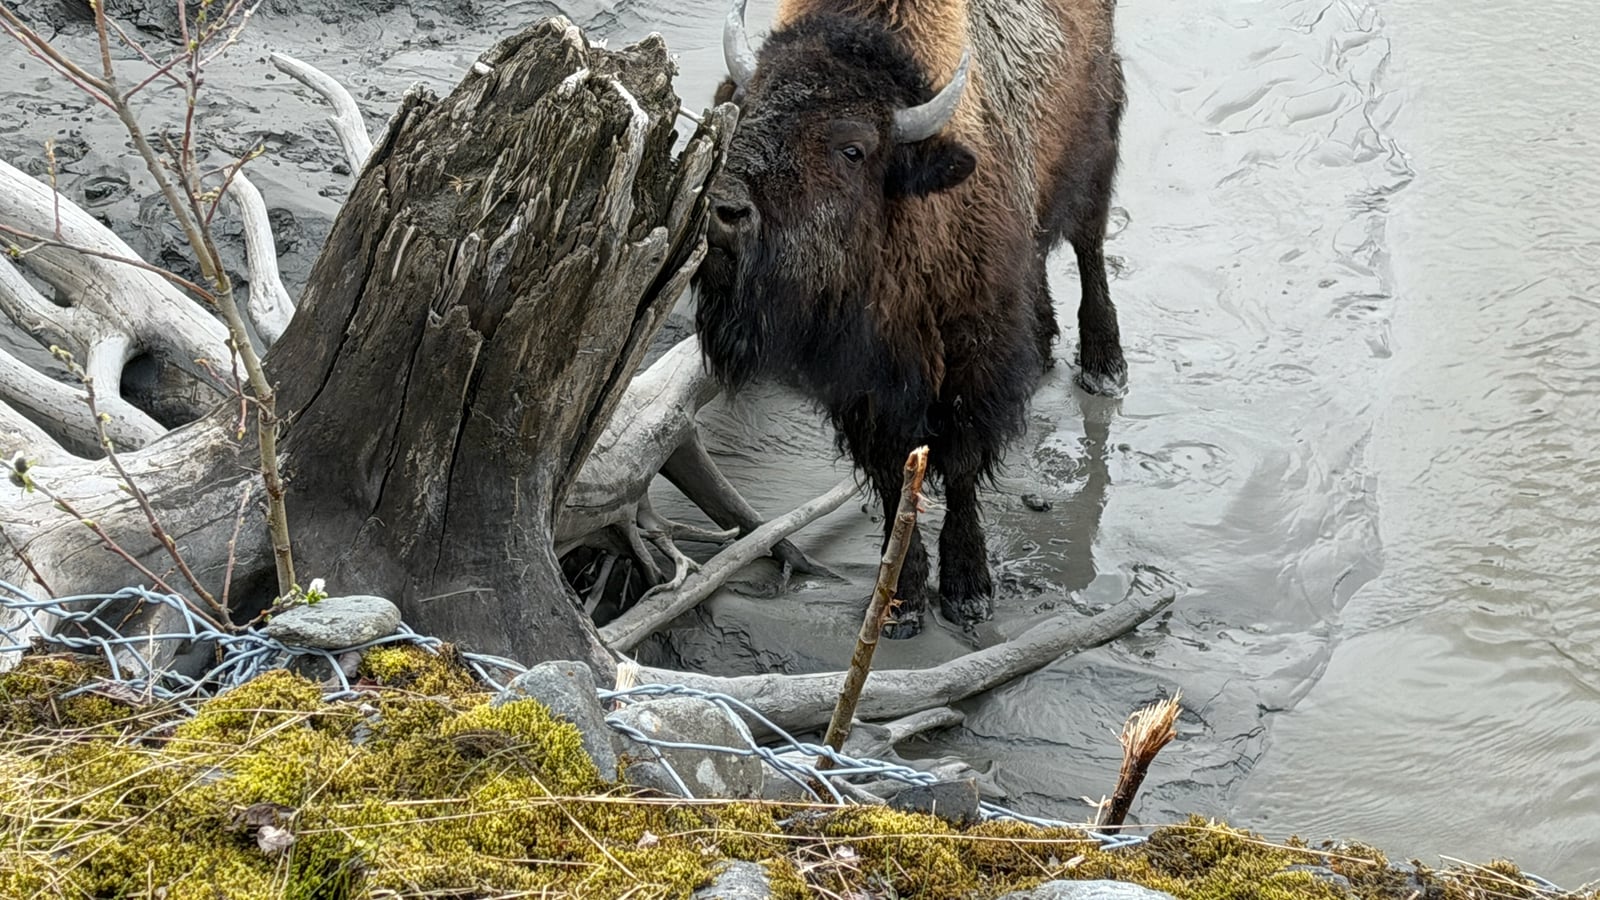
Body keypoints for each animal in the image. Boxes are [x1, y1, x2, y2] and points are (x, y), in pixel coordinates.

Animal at [692, 0, 1127, 637]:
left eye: (852, 148)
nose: (722, 210)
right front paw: (900, 601)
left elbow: (964, 465)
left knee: (1089, 248)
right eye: (746, 112)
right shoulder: (865, 386)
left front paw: (969, 589)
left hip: (1094, 153)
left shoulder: (972, 357)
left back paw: (1104, 366)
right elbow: (891, 474)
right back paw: (1046, 344)